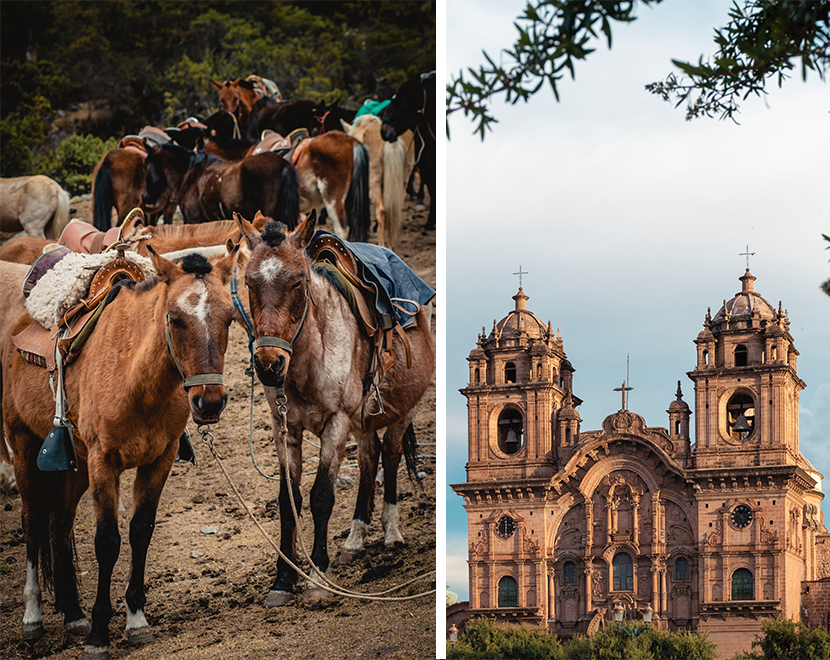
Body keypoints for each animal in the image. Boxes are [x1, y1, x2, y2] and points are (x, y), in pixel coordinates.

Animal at [1, 249, 239, 660]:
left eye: (229, 317)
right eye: (174, 318)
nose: (209, 402)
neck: (135, 376)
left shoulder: (159, 460)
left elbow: (140, 531)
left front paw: (136, 621)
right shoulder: (104, 462)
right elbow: (107, 541)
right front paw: (99, 633)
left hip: (76, 466)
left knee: (59, 522)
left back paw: (73, 615)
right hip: (25, 447)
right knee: (33, 523)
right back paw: (33, 617)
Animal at [231, 213, 432, 608]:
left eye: (297, 282)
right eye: (249, 282)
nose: (268, 364)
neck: (309, 358)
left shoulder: (336, 423)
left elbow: (321, 496)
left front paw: (318, 578)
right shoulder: (285, 428)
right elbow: (289, 499)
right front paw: (282, 580)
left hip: (402, 412)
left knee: (390, 455)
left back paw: (391, 532)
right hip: (364, 421)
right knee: (369, 459)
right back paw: (355, 539)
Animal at [340, 114, 414, 251]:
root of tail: (392, 138)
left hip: (374, 183)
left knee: (381, 210)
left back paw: (382, 244)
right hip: (403, 181)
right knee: (393, 210)